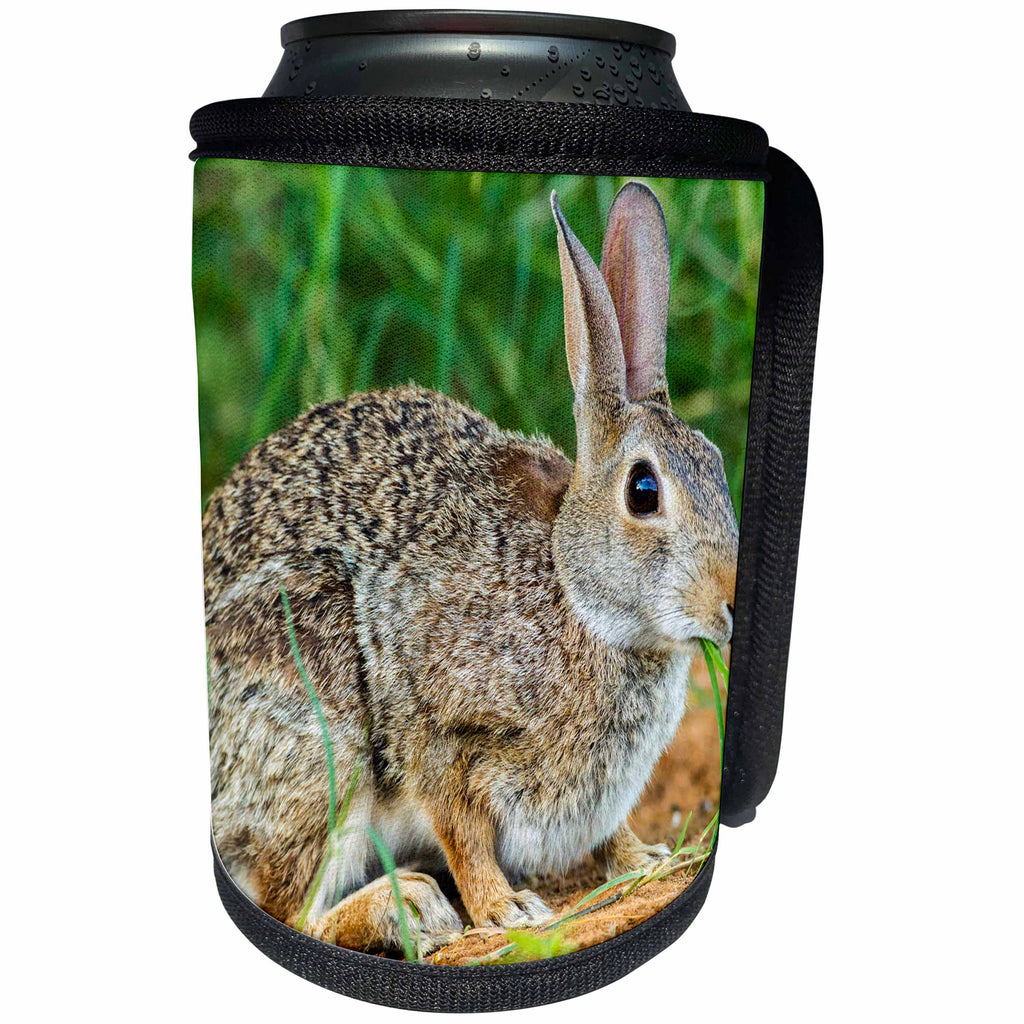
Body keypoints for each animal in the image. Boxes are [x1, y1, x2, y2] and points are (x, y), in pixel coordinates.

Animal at [204, 181, 739, 955]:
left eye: (718, 462)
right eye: (644, 491)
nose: (729, 603)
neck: (575, 593)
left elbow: (608, 833)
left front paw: (644, 860)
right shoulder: (439, 732)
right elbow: (462, 832)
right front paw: (505, 909)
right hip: (318, 727)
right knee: (291, 908)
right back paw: (409, 907)